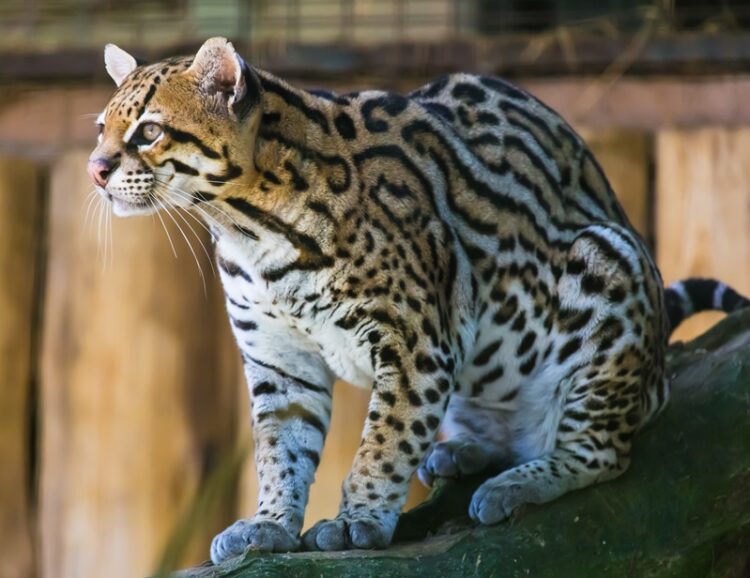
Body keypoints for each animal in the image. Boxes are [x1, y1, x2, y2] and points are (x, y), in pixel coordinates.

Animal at [87, 37, 750, 564]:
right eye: (101, 128)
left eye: (149, 131)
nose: (94, 168)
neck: (249, 231)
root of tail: (658, 369)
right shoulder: (278, 360)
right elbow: (281, 448)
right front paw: (269, 523)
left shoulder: (416, 339)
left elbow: (386, 438)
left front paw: (356, 519)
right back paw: (463, 451)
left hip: (608, 262)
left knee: (603, 452)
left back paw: (521, 482)